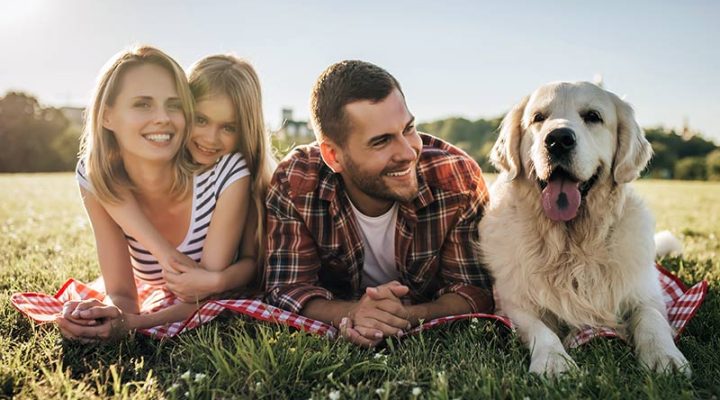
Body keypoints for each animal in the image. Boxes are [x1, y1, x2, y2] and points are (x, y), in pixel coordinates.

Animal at [478, 83, 692, 376]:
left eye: (593, 116)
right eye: (538, 117)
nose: (558, 139)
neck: (572, 243)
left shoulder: (647, 292)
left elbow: (652, 318)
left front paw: (664, 356)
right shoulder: (513, 302)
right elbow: (541, 329)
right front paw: (553, 360)